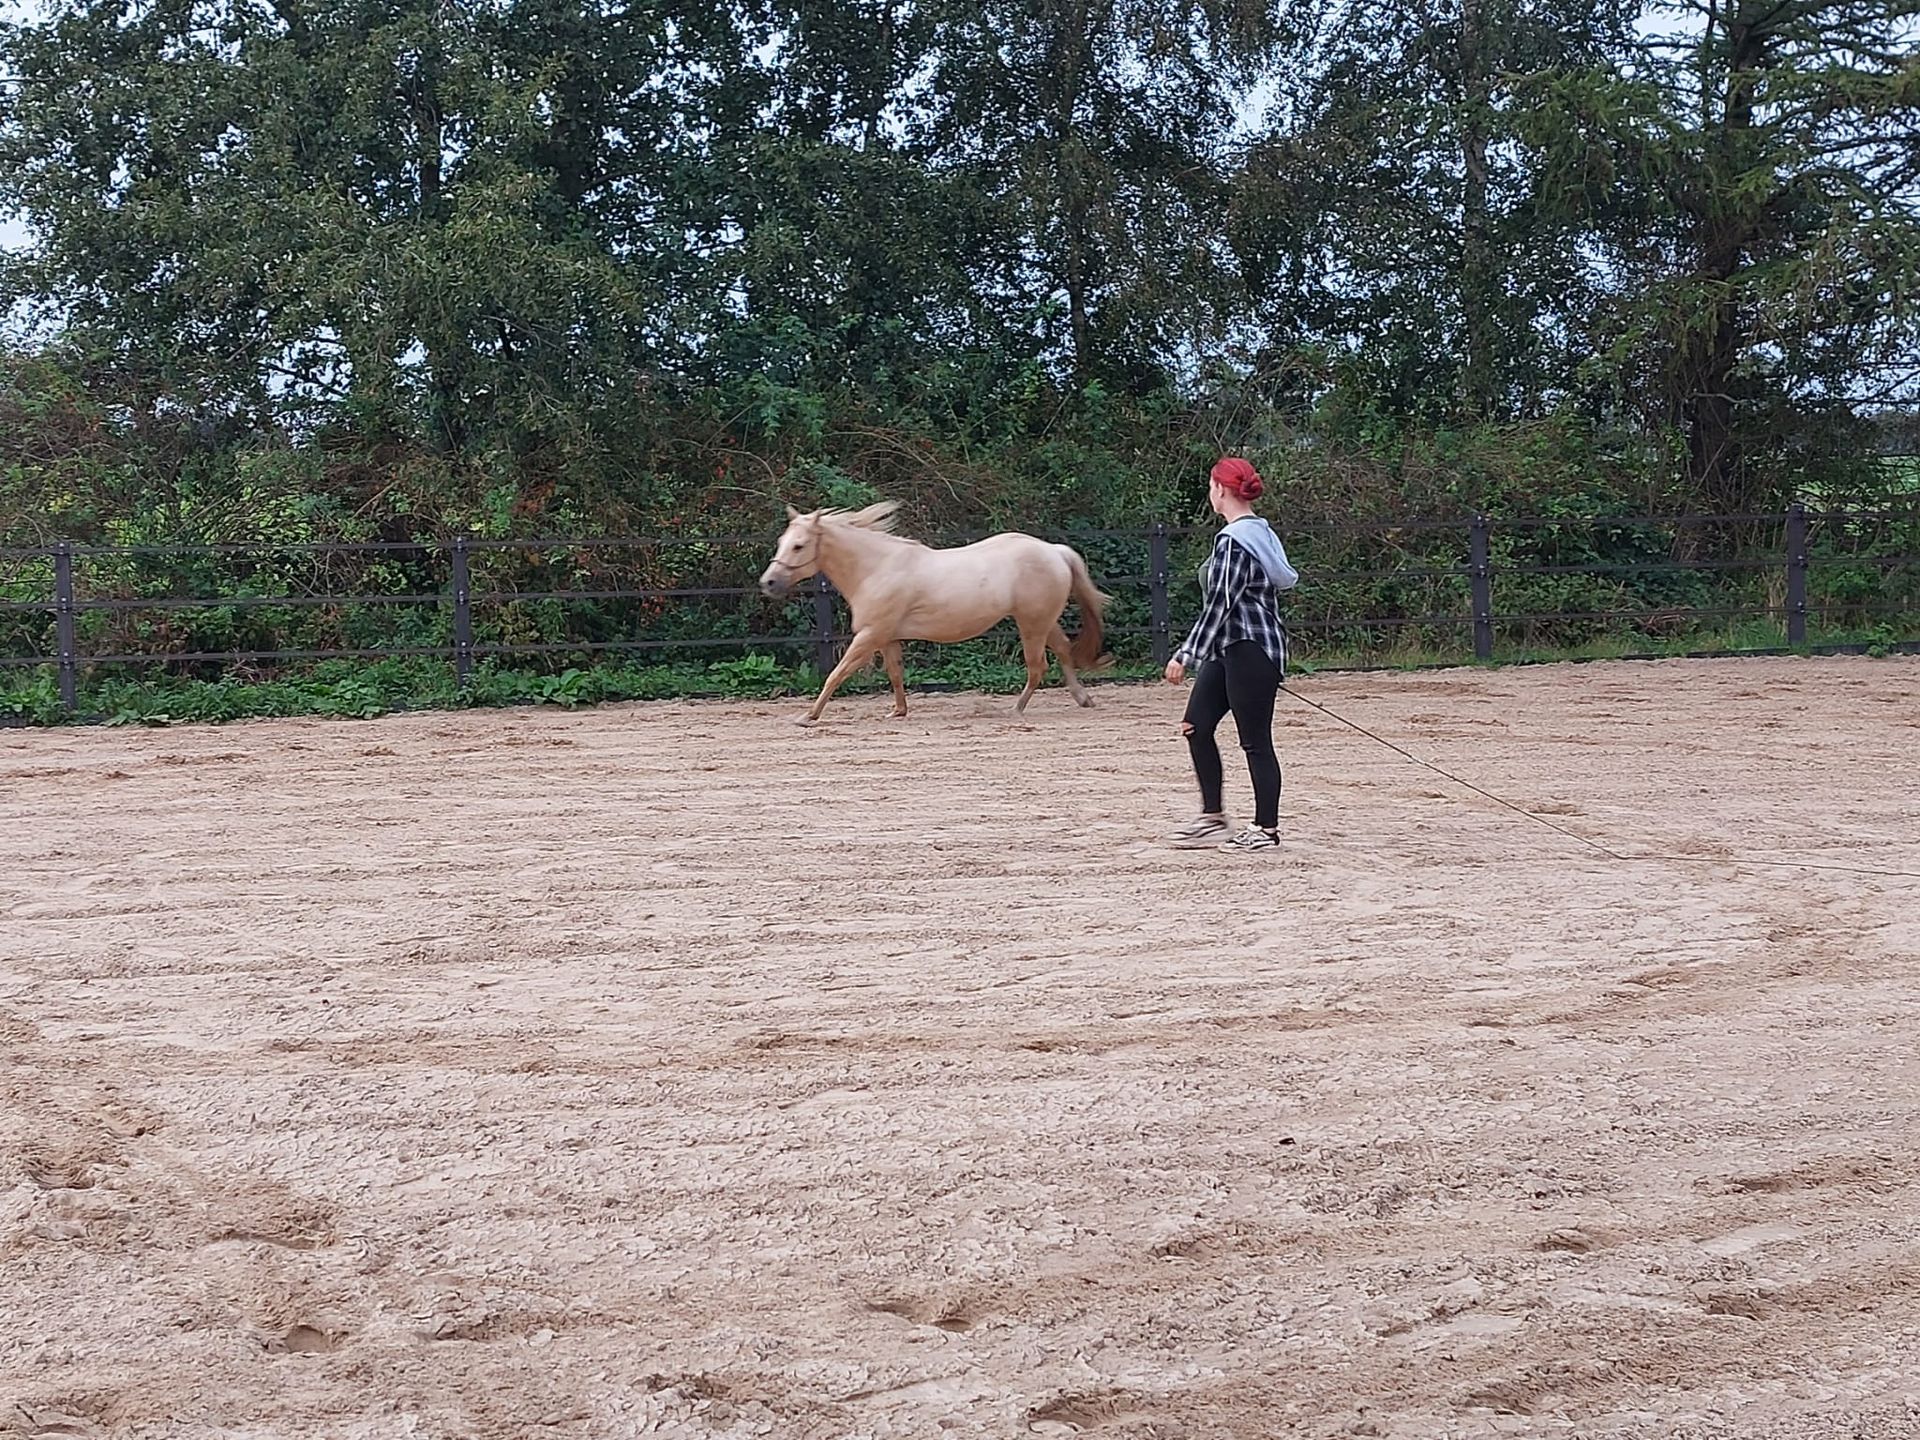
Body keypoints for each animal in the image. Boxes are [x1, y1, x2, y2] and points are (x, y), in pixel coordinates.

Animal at [757, 501, 1112, 722]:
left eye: (799, 545)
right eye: (782, 541)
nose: (768, 582)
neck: (876, 568)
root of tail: (1054, 550)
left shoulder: (869, 636)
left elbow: (837, 673)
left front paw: (807, 716)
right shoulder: (886, 637)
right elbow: (895, 674)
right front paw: (897, 712)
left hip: (1032, 624)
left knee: (1038, 667)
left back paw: (1015, 709)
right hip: (1042, 621)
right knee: (1063, 650)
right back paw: (1083, 699)